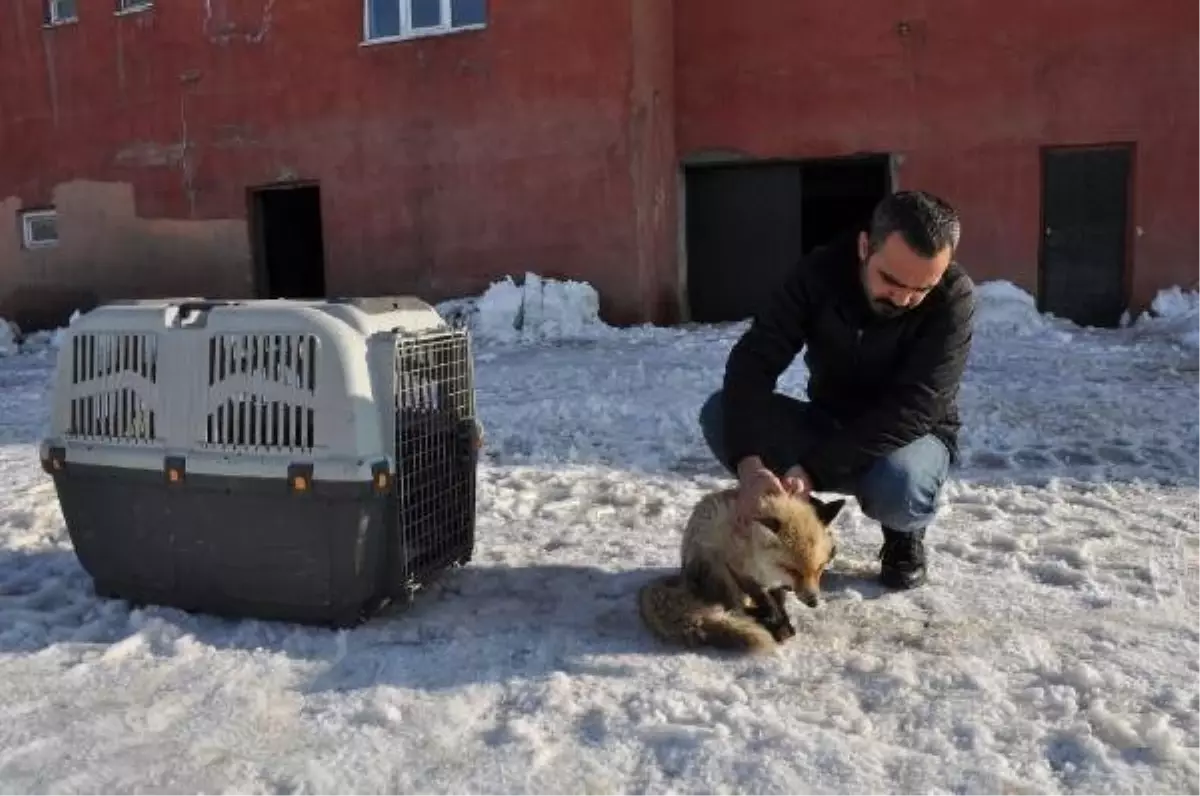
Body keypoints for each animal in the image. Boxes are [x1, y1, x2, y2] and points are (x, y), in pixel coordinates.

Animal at [638, 485, 844, 653]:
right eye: (793, 570)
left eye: (819, 568)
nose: (814, 602)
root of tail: (683, 577)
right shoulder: (738, 570)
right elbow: (764, 600)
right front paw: (776, 622)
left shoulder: (776, 582)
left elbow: (778, 600)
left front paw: (783, 620)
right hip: (717, 568)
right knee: (735, 608)